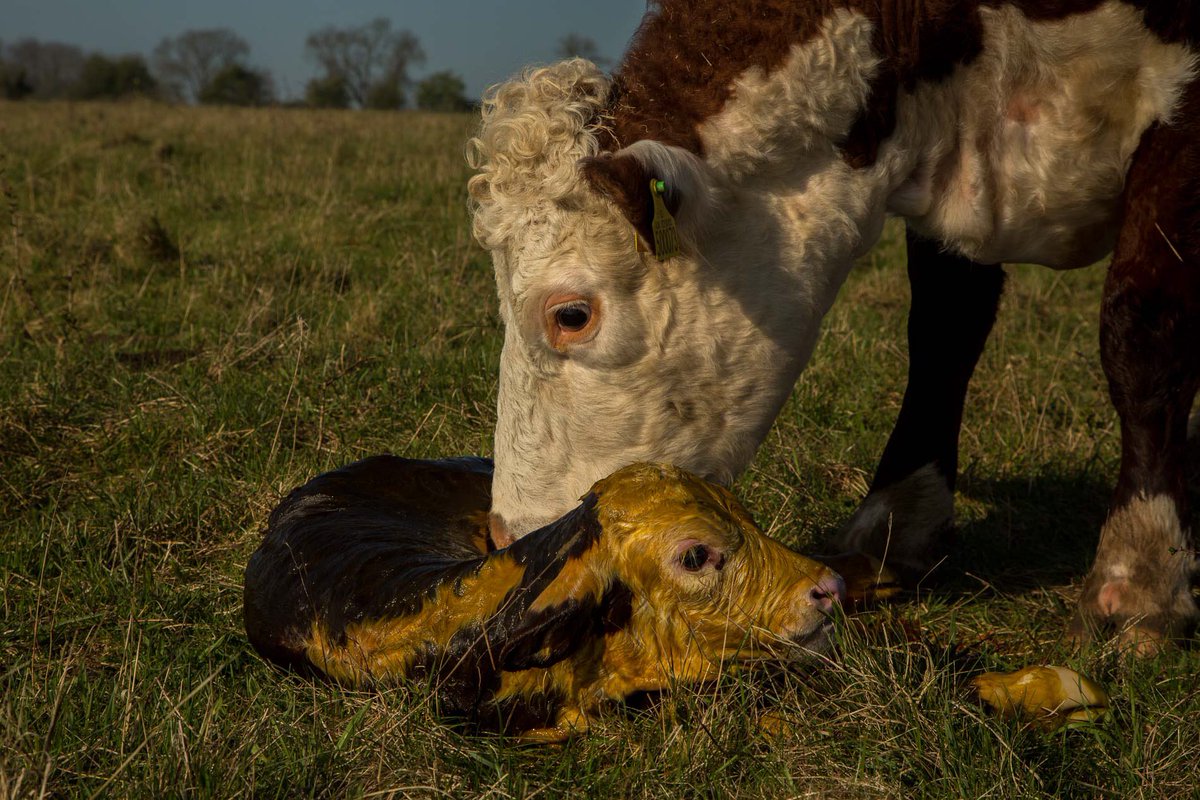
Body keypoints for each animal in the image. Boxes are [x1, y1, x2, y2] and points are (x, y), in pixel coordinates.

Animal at [466, 0, 1200, 654]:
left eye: (571, 315)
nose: (509, 537)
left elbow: (1143, 334)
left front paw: (1139, 573)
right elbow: (944, 331)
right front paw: (900, 520)